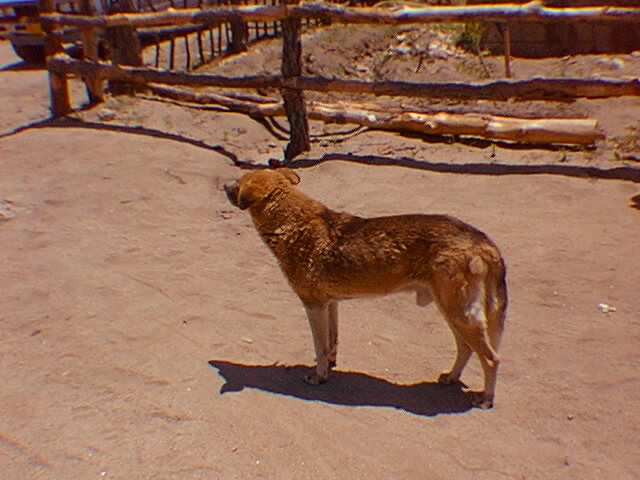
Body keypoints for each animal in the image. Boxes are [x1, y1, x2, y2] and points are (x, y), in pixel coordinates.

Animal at [224, 168, 507, 409]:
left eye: (238, 183)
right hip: (452, 314)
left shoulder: (313, 305)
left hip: (458, 315)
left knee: (492, 359)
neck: (294, 225)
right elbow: (331, 343)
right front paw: (330, 366)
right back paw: (451, 378)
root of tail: (483, 240)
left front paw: (319, 376)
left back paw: (486, 399)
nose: (223, 185)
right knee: (467, 349)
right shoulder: (331, 304)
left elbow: (320, 346)